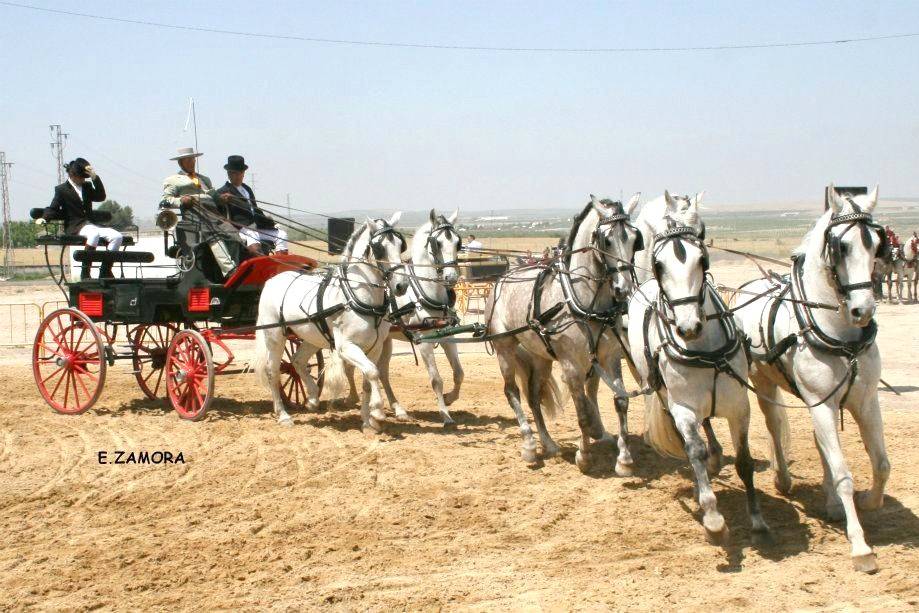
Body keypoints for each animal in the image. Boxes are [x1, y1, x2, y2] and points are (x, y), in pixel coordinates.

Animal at [253, 215, 408, 430]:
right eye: (379, 248)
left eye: (401, 245)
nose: (401, 285)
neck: (360, 298)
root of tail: (272, 281)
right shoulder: (346, 347)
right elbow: (372, 372)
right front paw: (377, 412)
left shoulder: (375, 347)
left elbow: (368, 379)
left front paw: (367, 421)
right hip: (275, 335)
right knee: (272, 370)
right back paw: (283, 415)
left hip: (312, 337)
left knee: (297, 361)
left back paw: (312, 399)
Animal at [354, 209, 464, 426]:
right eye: (437, 243)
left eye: (458, 242)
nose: (451, 278)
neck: (427, 292)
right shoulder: (424, 341)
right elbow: (436, 380)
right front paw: (445, 415)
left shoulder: (448, 336)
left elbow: (458, 373)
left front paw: (450, 398)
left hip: (385, 341)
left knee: (382, 372)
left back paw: (398, 410)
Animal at [624, 191, 768, 540]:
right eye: (659, 264)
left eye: (702, 257)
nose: (688, 327)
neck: (703, 349)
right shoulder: (683, 408)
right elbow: (694, 450)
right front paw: (712, 515)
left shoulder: (739, 406)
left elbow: (744, 461)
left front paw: (757, 519)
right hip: (664, 396)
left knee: (708, 426)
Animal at [732, 184, 892, 572]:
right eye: (841, 246)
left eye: (875, 244)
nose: (863, 310)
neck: (842, 338)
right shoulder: (822, 404)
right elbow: (844, 474)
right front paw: (860, 547)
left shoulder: (864, 401)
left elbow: (880, 463)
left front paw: (869, 501)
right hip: (765, 384)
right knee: (775, 425)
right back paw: (784, 479)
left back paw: (830, 502)